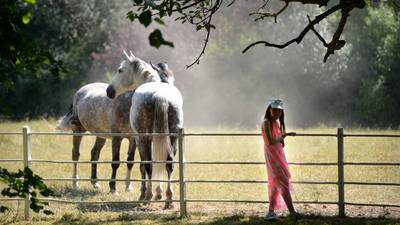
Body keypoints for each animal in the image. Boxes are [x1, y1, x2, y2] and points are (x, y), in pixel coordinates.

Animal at [104, 51, 183, 209]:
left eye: (120, 70)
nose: (109, 91)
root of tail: (160, 95)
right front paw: (159, 193)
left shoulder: (139, 139)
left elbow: (143, 165)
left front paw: (144, 193)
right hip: (172, 137)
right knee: (169, 164)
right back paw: (169, 199)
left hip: (144, 138)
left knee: (148, 165)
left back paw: (148, 197)